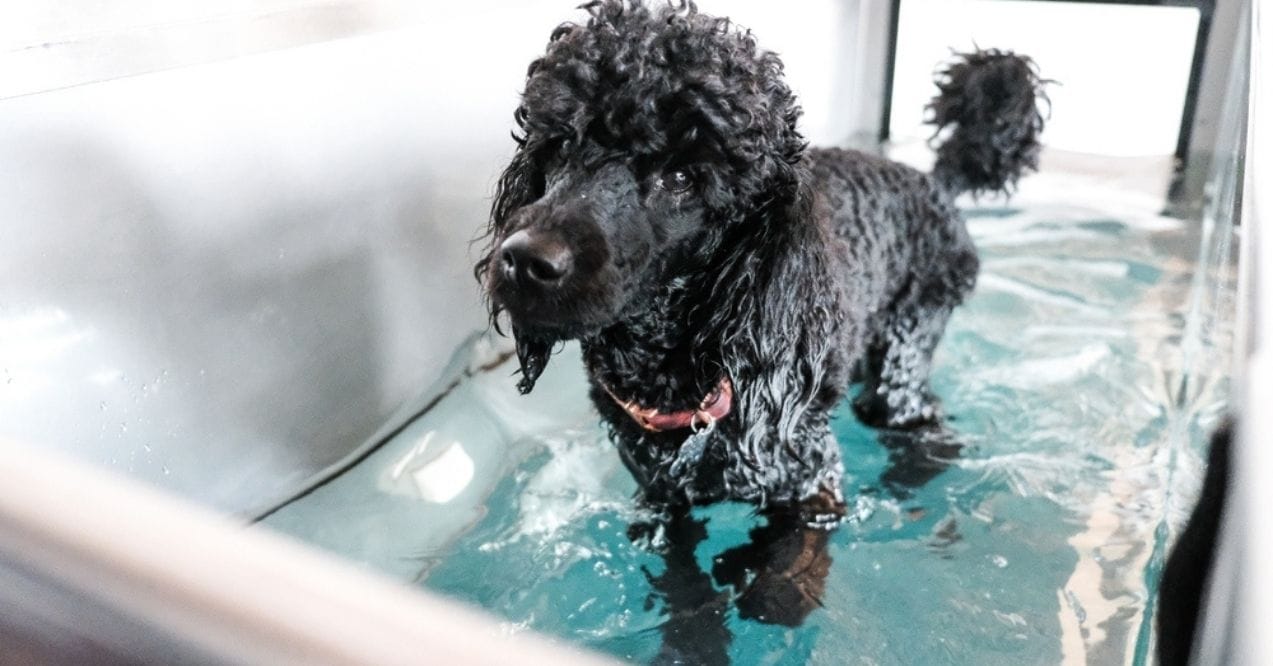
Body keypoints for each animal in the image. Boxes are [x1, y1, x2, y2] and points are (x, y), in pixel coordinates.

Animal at [478, 0, 1043, 651]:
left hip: (906, 352)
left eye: (682, 177)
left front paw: (754, 578)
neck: (684, 376)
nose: (524, 259)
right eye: (561, 145)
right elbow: (684, 591)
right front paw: (696, 634)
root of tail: (935, 180)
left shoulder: (812, 481)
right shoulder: (662, 499)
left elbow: (782, 589)